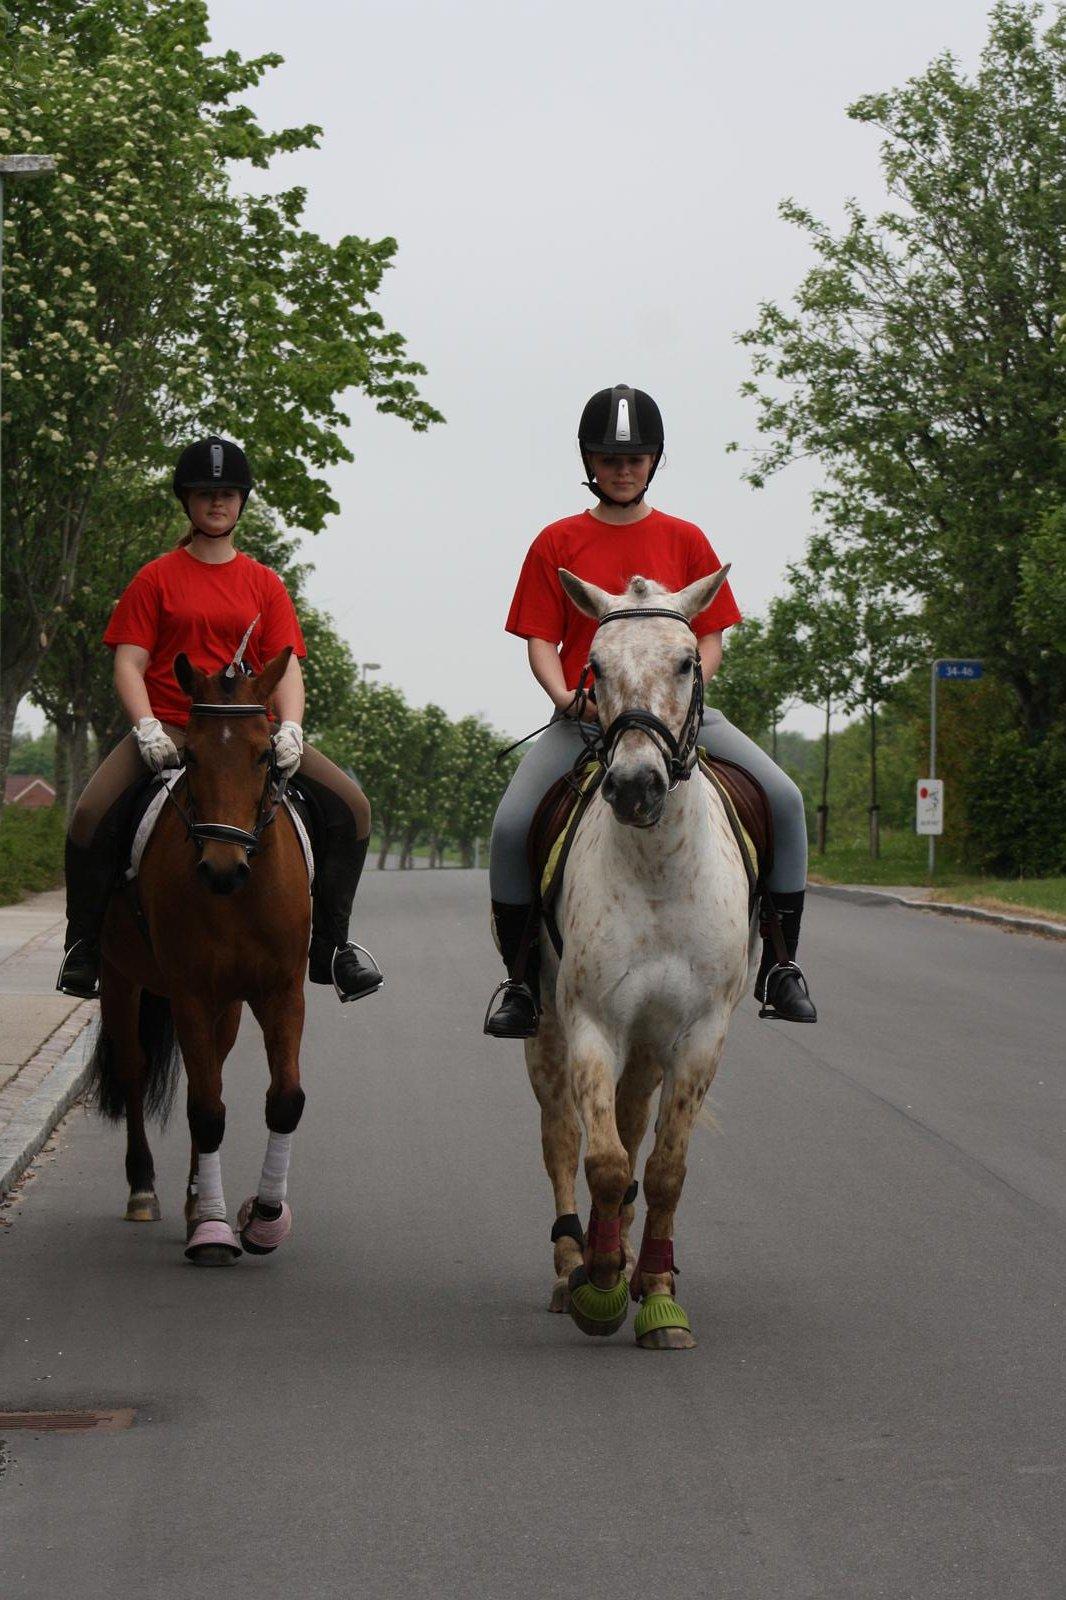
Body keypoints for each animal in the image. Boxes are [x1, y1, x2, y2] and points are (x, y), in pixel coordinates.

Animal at [89, 646, 308, 1260]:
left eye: (265, 755)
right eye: (189, 756)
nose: (221, 869)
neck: (241, 893)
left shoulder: (280, 989)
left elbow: (284, 1099)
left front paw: (264, 1220)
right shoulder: (189, 992)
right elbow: (207, 1111)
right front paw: (213, 1230)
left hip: (226, 1004)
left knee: (207, 1071)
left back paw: (192, 1199)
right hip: (121, 978)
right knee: (135, 1068)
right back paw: (146, 1190)